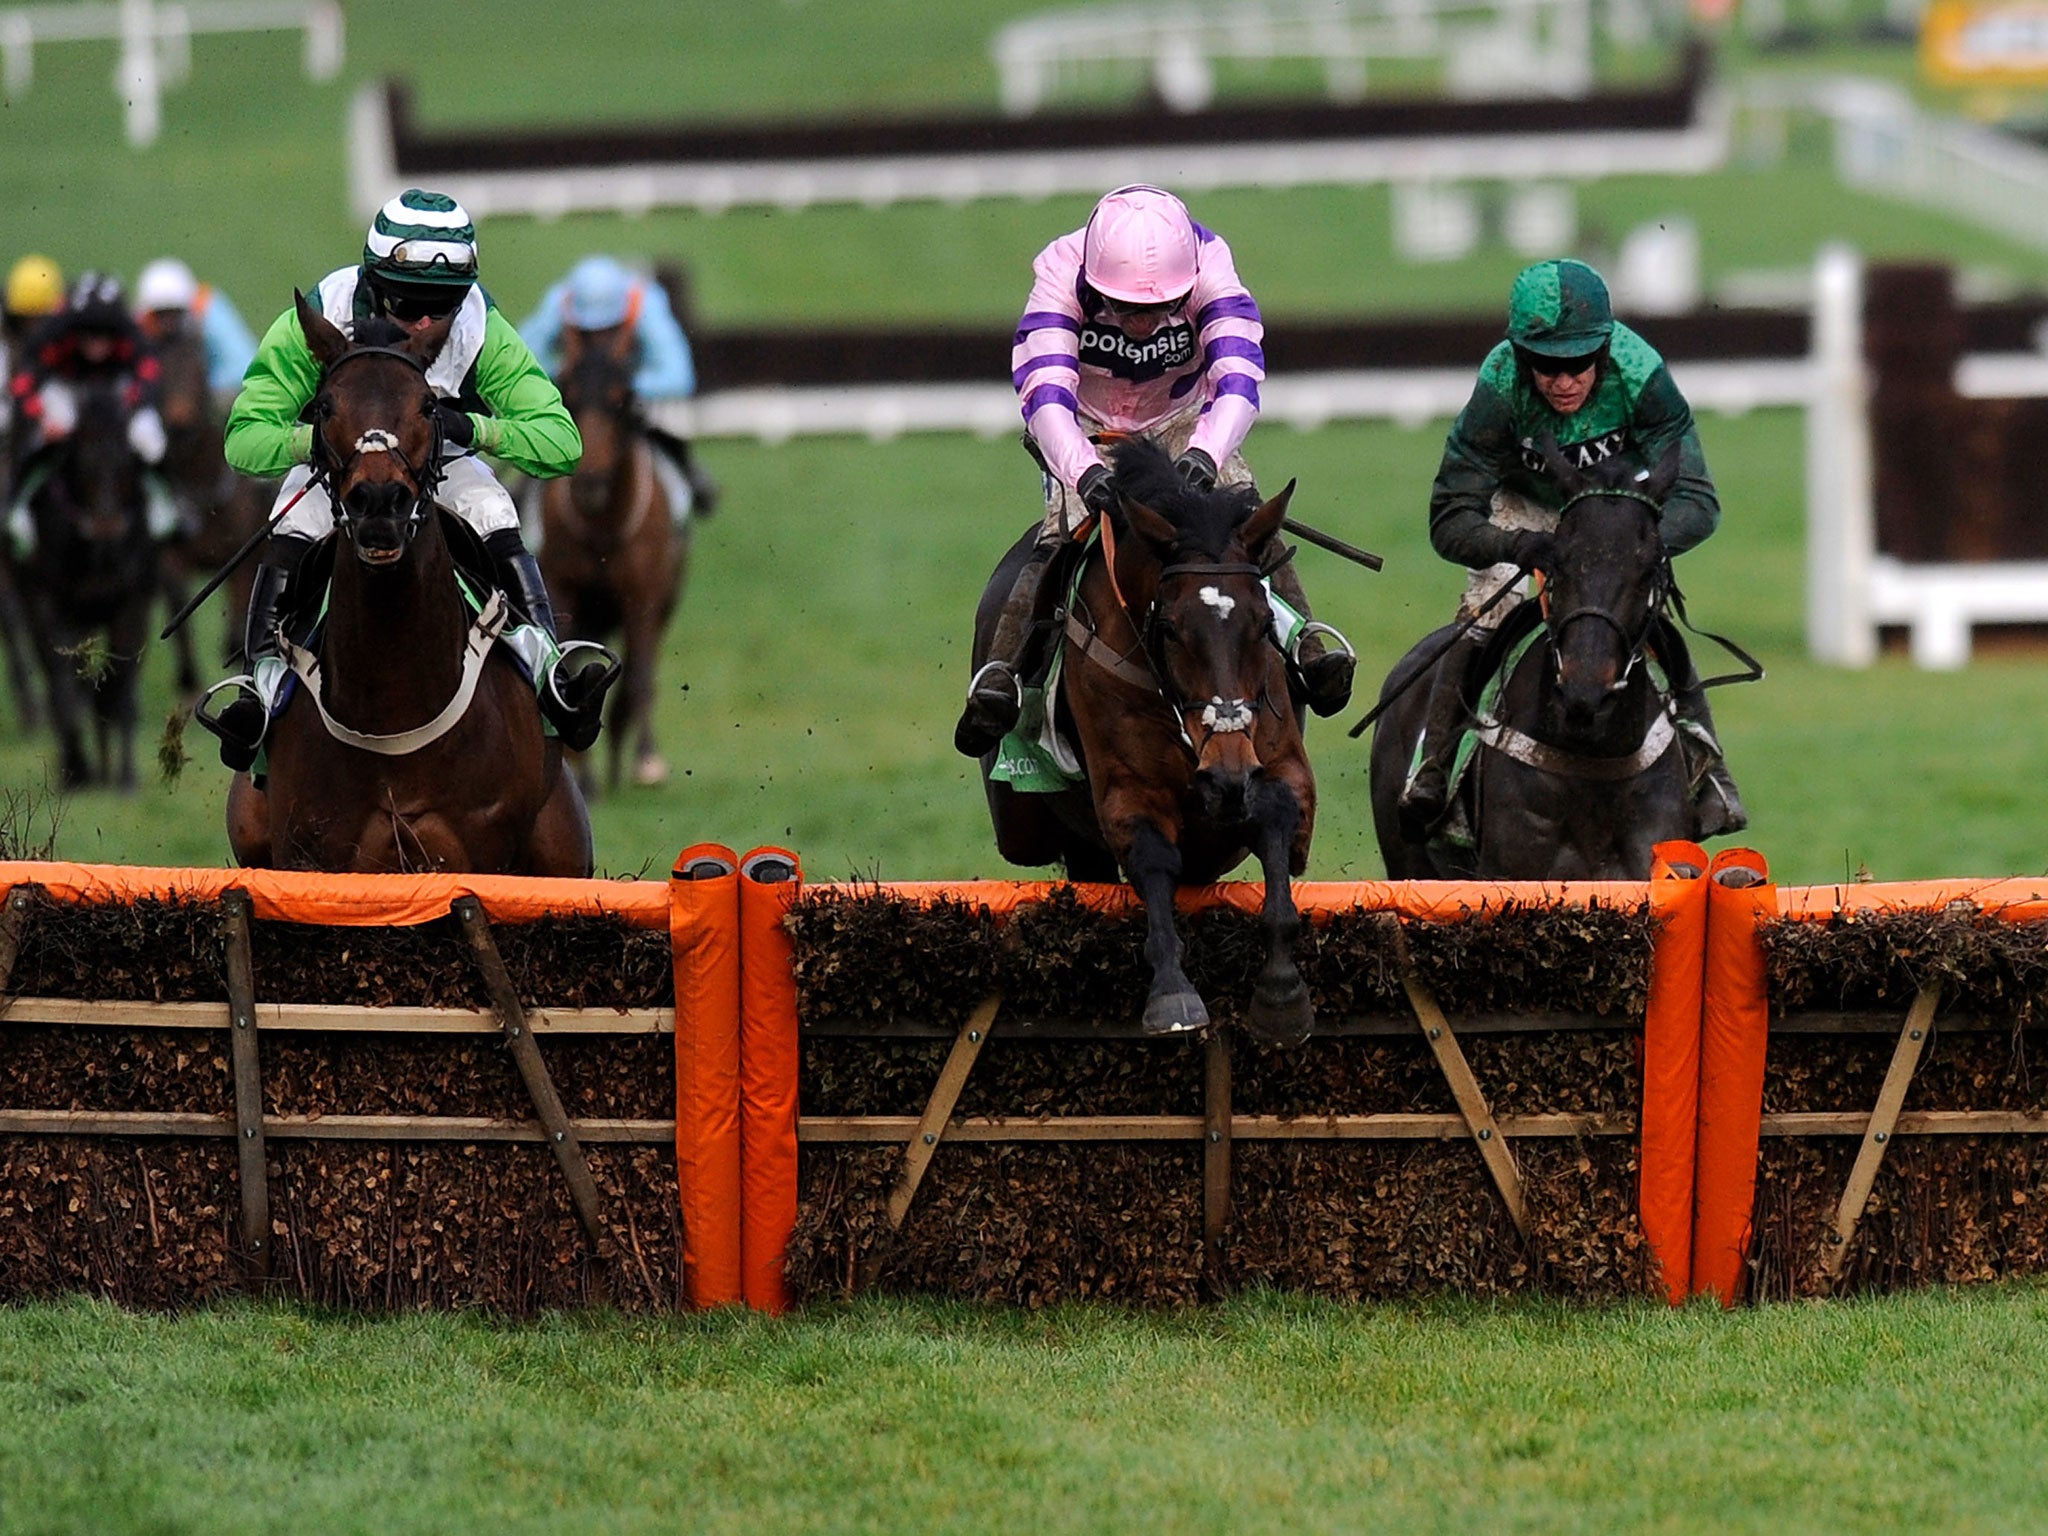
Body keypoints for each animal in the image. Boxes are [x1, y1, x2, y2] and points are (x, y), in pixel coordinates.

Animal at [18, 376, 158, 786]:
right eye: (82, 463)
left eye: (127, 464)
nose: (106, 526)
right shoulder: (49, 602)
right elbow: (65, 687)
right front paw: (76, 771)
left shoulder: (133, 600)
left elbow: (121, 686)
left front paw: (126, 777)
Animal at [233, 296, 598, 876]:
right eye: (325, 407)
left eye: (428, 406)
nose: (380, 503)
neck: (395, 707)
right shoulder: (309, 855)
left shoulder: (484, 854)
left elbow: (554, 428)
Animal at [970, 434, 1318, 1048]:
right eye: (1171, 628)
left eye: (1260, 624)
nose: (1226, 773)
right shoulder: (1128, 794)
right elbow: (1154, 859)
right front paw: (1173, 994)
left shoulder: (1282, 767)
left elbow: (1278, 820)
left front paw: (1282, 994)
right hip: (1029, 832)